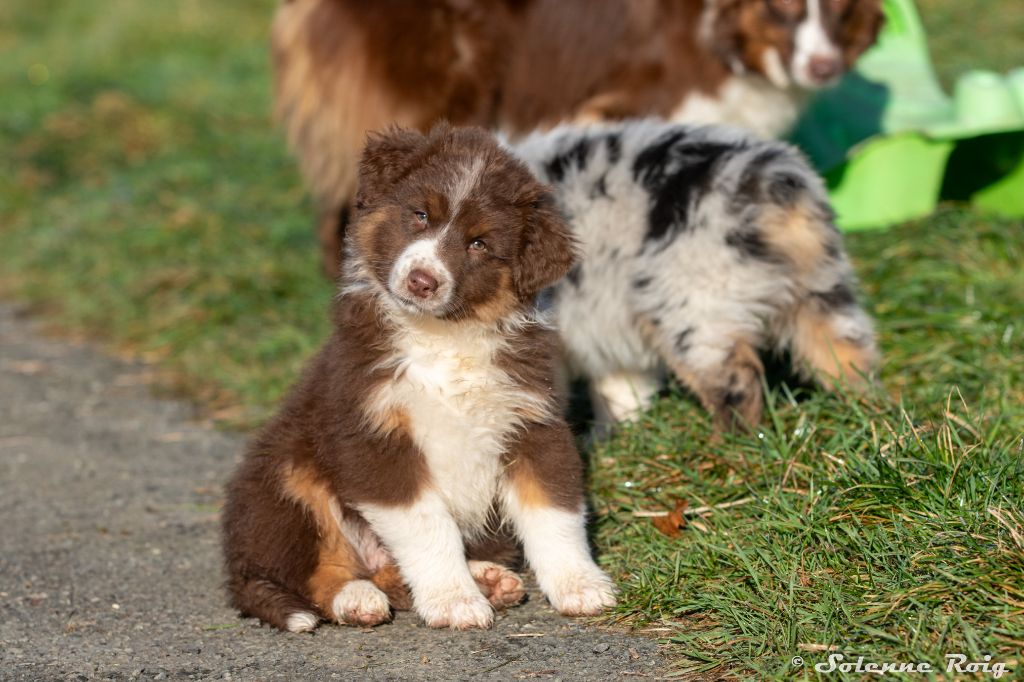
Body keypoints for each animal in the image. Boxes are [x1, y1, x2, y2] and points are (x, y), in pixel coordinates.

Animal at [219, 124, 610, 630]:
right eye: (420, 215)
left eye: (479, 243)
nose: (422, 281)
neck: (444, 338)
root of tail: (237, 565)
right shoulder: (374, 435)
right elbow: (428, 526)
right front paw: (453, 600)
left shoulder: (533, 423)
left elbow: (555, 512)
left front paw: (580, 585)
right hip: (287, 472)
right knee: (312, 571)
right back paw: (356, 598)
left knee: (388, 573)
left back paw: (488, 579)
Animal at [516, 119, 876, 428]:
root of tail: (769, 179)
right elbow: (619, 390)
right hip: (821, 285)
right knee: (846, 353)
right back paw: (865, 413)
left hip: (695, 306)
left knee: (735, 382)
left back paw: (729, 447)